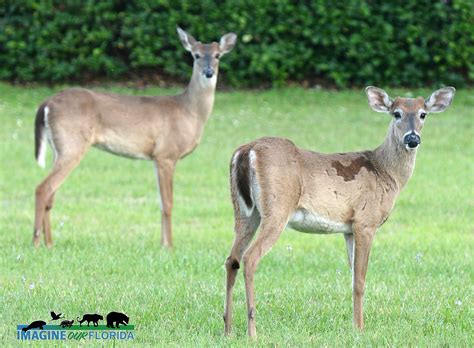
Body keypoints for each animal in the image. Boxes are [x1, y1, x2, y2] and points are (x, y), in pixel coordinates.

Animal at [33, 28, 237, 249]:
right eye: (196, 55)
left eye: (217, 55)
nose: (208, 72)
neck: (190, 112)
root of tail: (46, 103)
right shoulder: (166, 154)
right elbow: (168, 203)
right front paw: (169, 246)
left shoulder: (156, 157)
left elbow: (160, 202)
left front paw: (162, 244)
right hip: (72, 143)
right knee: (43, 188)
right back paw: (36, 242)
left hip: (59, 147)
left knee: (51, 194)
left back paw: (49, 243)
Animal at [225, 85, 456, 336]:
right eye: (396, 113)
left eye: (423, 114)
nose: (412, 138)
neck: (386, 172)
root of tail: (247, 151)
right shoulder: (366, 221)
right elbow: (360, 280)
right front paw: (361, 328)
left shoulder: (348, 229)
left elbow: (352, 275)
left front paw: (354, 326)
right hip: (277, 209)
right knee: (250, 258)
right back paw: (252, 333)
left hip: (245, 212)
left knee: (232, 259)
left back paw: (228, 329)